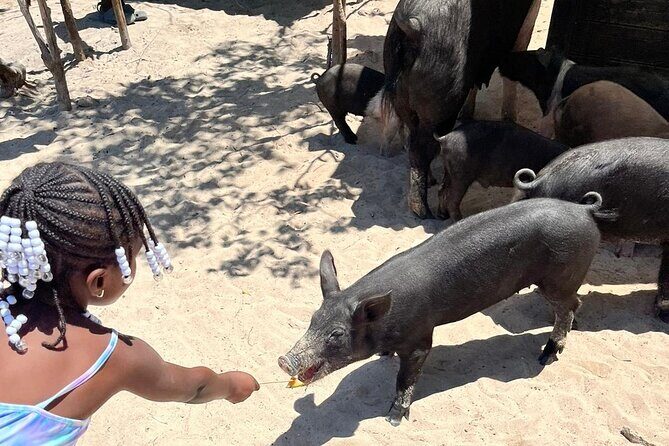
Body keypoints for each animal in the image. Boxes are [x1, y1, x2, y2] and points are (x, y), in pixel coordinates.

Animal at [279, 196, 607, 426]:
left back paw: (546, 356)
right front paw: (384, 356)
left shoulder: (420, 338)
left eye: (336, 334)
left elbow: (406, 378)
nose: (284, 360)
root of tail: (584, 211)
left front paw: (392, 419)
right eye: (313, 319)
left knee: (568, 306)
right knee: (573, 305)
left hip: (560, 276)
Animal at [382, 0, 539, 219]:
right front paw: (509, 118)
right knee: (422, 149)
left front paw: (468, 113)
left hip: (403, 100)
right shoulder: (524, 26)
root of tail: (412, 29)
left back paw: (430, 184)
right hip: (441, 107)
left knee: (412, 139)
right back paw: (424, 211)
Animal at [434, 119, 570, 221]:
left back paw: (442, 215)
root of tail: (445, 138)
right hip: (461, 175)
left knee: (441, 189)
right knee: (452, 199)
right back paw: (458, 219)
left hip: (449, 171)